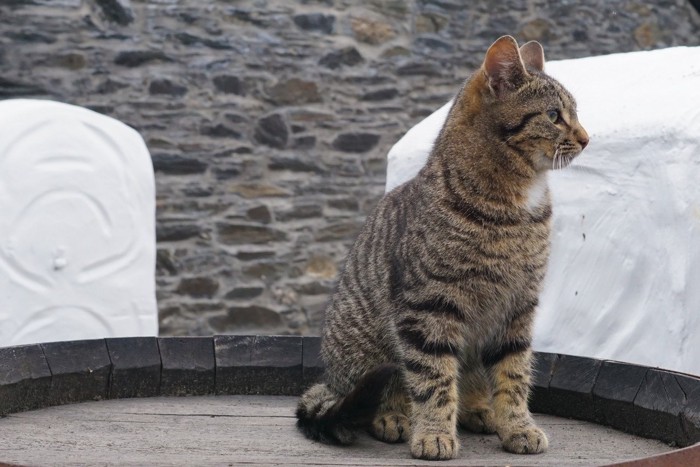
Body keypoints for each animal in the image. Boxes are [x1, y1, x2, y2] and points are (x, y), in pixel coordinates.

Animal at [296, 35, 592, 460]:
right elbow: (433, 379)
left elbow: (514, 376)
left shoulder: (518, 308)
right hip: (368, 349)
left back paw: (478, 409)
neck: (519, 203)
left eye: (575, 114)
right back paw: (394, 416)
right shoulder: (428, 308)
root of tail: (330, 378)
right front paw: (434, 433)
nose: (587, 138)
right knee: (382, 387)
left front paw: (517, 426)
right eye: (554, 115)